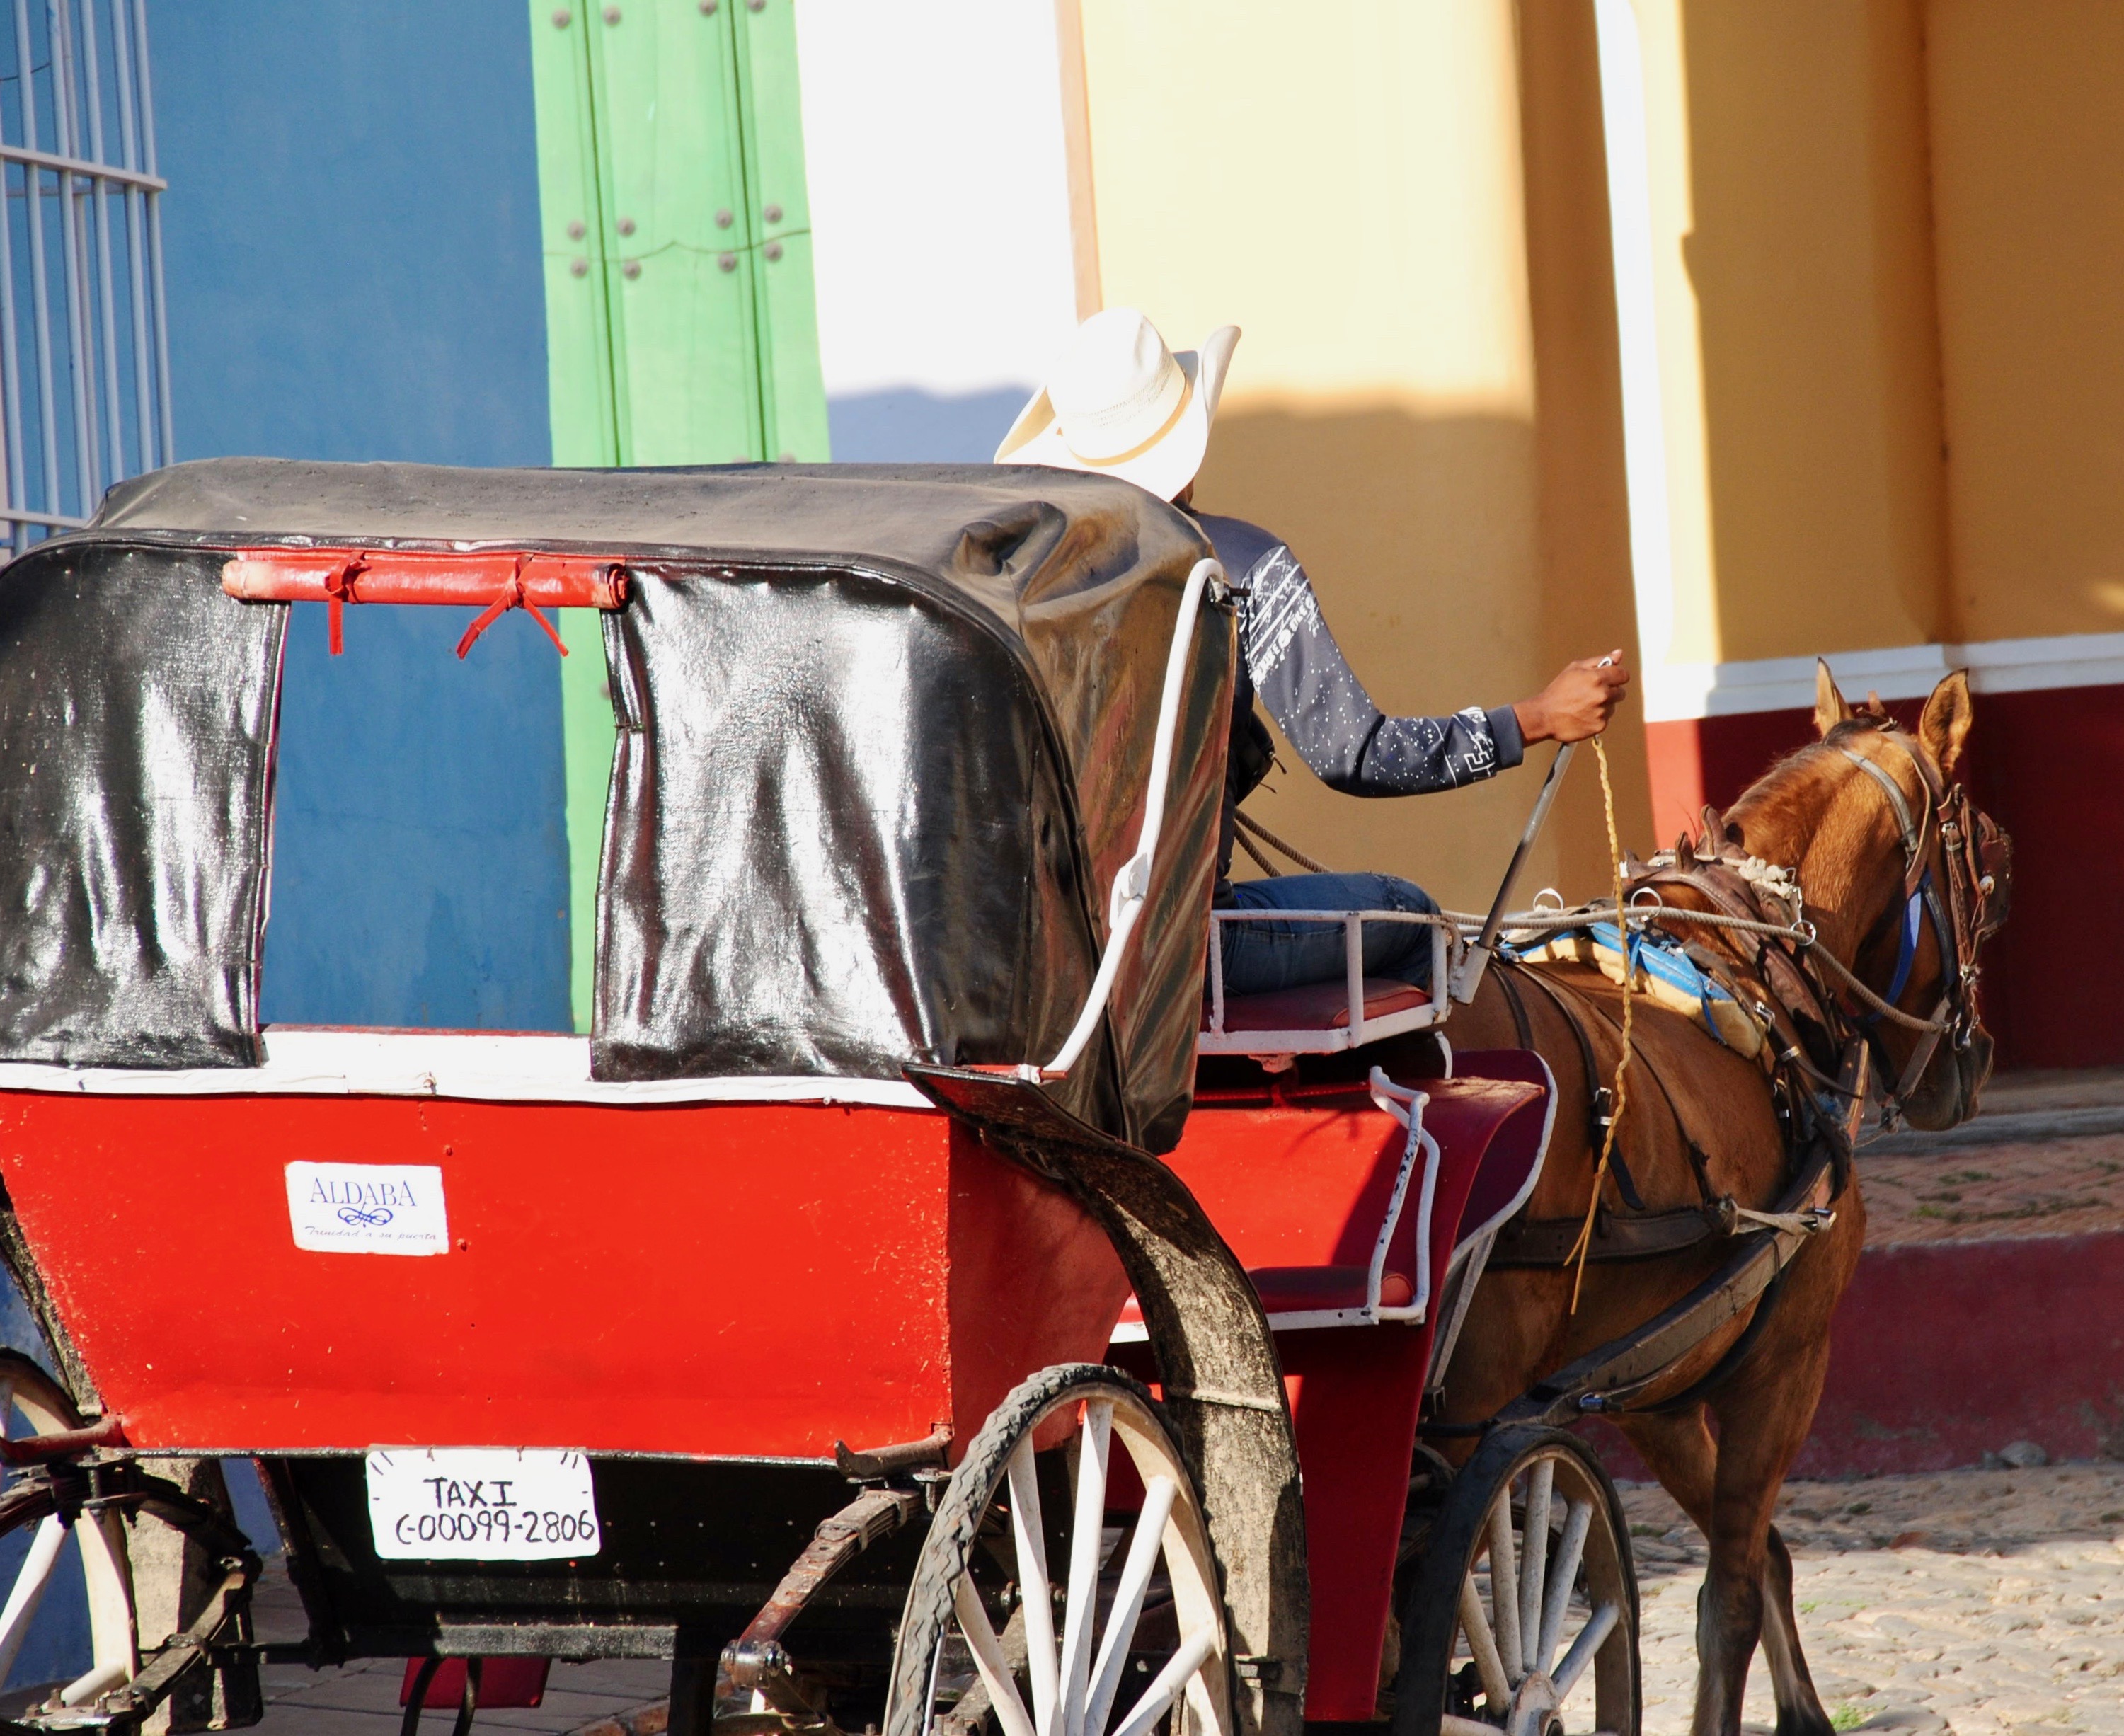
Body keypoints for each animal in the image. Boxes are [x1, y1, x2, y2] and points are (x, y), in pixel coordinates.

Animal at [1433, 661, 2013, 1736]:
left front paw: (1806, 1710)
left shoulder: (1655, 1385)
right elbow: (1728, 1598)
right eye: (1988, 870)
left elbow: (1765, 1557)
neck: (1756, 956)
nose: (1973, 1063)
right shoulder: (1783, 1363)